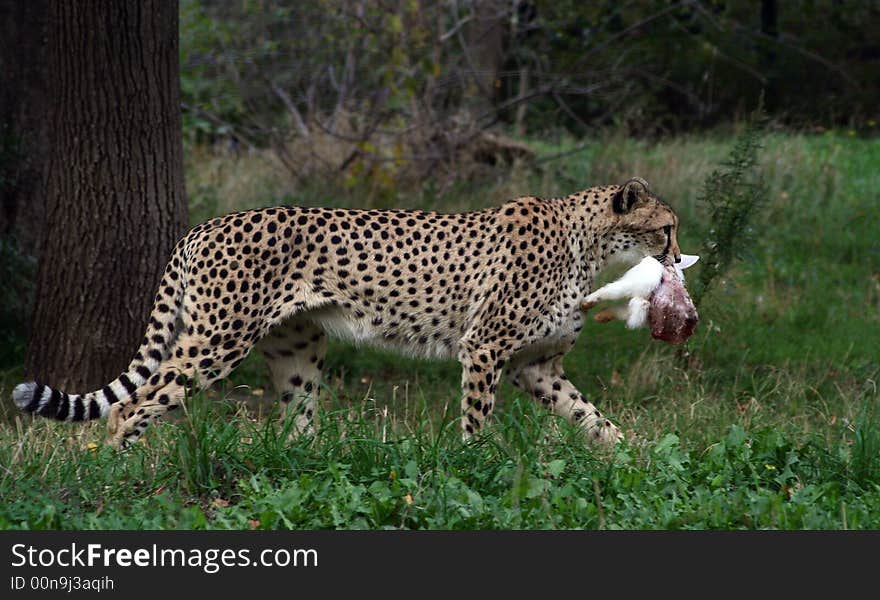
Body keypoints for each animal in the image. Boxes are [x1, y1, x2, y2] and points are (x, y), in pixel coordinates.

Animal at [15, 176, 688, 448]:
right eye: (666, 229)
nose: (681, 257)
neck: (588, 244)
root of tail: (202, 226)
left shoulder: (535, 366)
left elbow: (594, 419)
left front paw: (635, 458)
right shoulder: (484, 349)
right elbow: (477, 422)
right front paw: (476, 470)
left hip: (296, 347)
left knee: (296, 424)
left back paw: (305, 469)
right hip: (217, 340)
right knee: (130, 405)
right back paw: (118, 479)